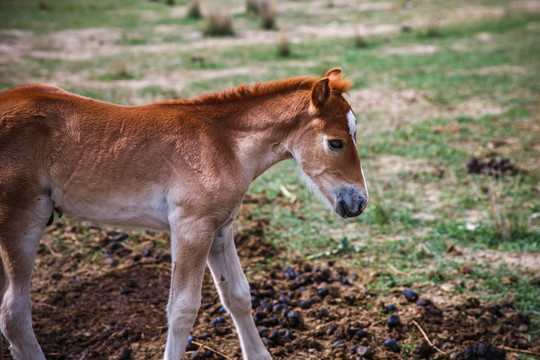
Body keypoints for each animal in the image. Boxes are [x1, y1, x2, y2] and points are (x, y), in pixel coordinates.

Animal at [0, 68, 368, 360]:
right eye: (336, 142)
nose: (360, 202)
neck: (222, 146)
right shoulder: (191, 228)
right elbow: (182, 309)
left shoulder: (220, 229)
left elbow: (238, 295)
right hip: (22, 220)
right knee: (13, 314)